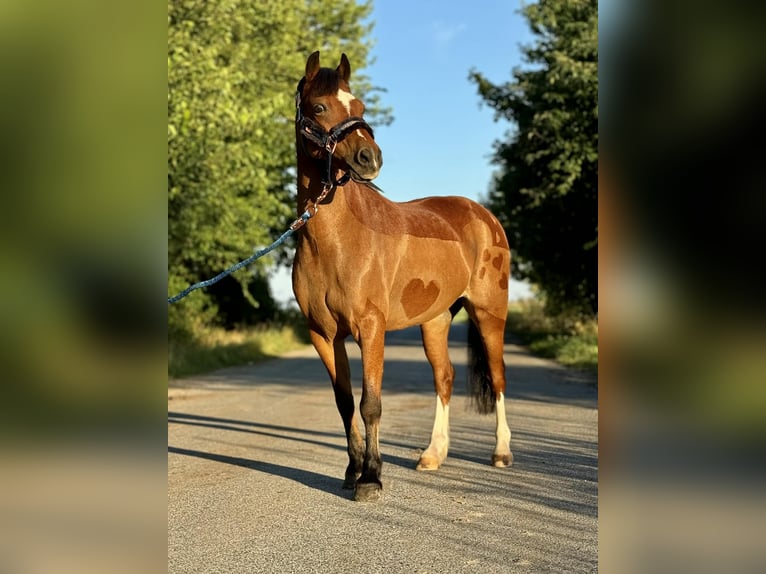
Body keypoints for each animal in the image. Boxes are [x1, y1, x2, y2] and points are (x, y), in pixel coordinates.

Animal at [291, 51, 513, 502]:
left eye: (359, 106)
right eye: (319, 108)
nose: (369, 158)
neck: (333, 241)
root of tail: (484, 216)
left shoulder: (370, 328)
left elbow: (370, 403)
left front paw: (371, 478)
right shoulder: (323, 334)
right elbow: (344, 403)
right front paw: (352, 470)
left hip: (489, 314)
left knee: (498, 377)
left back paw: (500, 453)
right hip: (435, 320)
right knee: (444, 378)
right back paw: (432, 454)